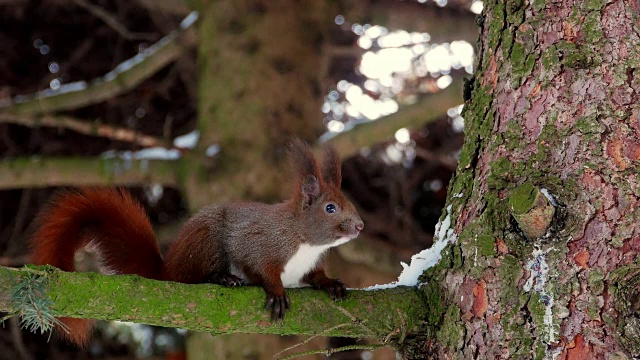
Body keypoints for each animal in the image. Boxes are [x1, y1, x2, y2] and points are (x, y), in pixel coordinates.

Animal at [30, 139, 362, 348]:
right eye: (330, 208)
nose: (360, 226)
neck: (306, 242)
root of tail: (168, 268)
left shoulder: (310, 264)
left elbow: (315, 276)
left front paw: (331, 283)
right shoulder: (261, 242)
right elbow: (260, 267)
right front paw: (277, 291)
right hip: (206, 241)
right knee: (191, 277)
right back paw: (223, 278)